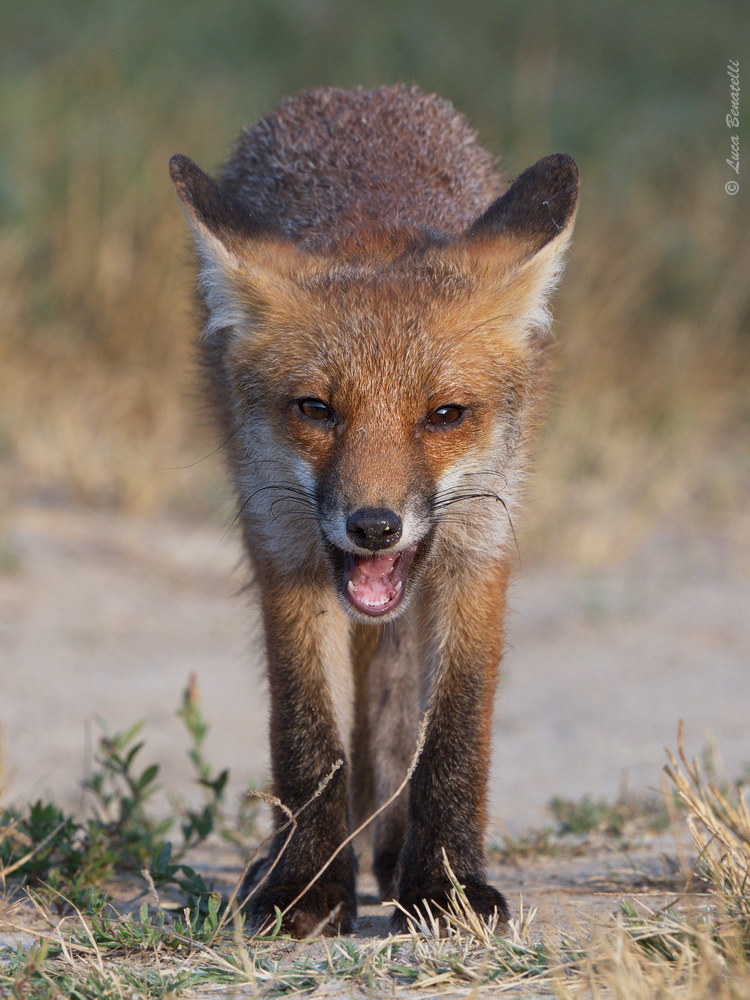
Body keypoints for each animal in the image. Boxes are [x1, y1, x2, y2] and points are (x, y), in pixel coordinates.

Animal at [170, 84, 578, 937]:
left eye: (446, 415)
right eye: (316, 409)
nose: (374, 526)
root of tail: (358, 93)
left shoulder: (477, 554)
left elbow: (453, 736)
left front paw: (447, 883)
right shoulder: (284, 550)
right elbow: (307, 736)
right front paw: (307, 886)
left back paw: (393, 853)